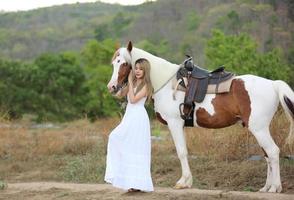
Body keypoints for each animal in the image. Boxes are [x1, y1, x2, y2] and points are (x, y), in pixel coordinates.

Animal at [107, 41, 294, 193]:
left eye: (124, 63)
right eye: (114, 63)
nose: (112, 87)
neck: (167, 83)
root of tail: (272, 84)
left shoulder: (175, 123)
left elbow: (181, 152)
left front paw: (183, 182)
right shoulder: (180, 125)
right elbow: (184, 151)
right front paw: (187, 181)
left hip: (259, 128)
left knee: (273, 152)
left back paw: (275, 188)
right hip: (259, 128)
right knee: (267, 155)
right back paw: (266, 187)